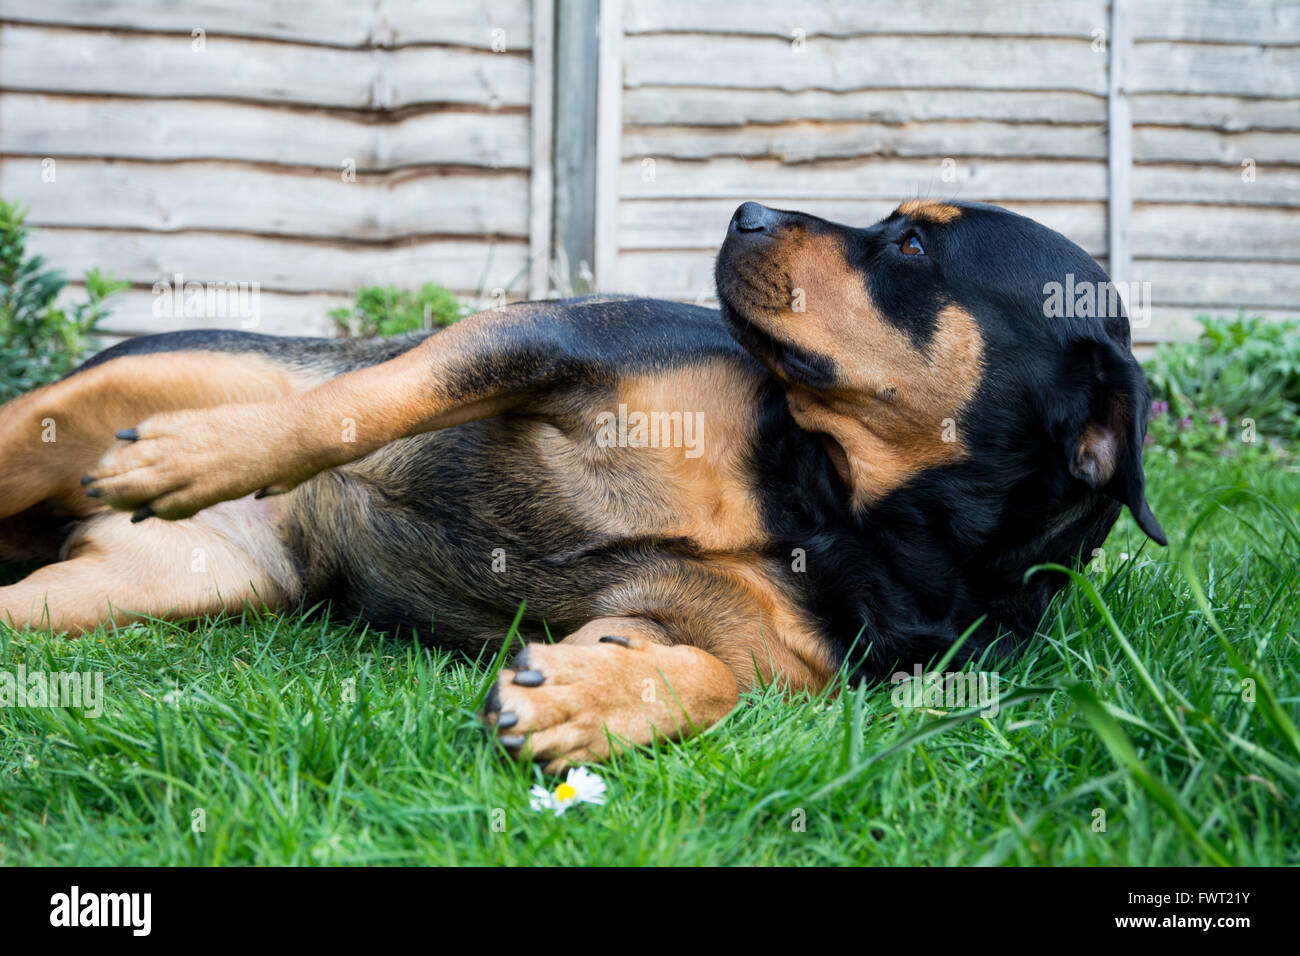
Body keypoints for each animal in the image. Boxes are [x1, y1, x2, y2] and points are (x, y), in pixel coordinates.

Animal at [0, 200, 1159, 770]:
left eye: (911, 245)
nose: (744, 209)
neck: (837, 507)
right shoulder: (547, 341)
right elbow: (362, 403)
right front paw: (194, 456)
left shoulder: (674, 624)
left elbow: (705, 678)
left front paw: (583, 704)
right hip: (74, 410)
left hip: (127, 589)